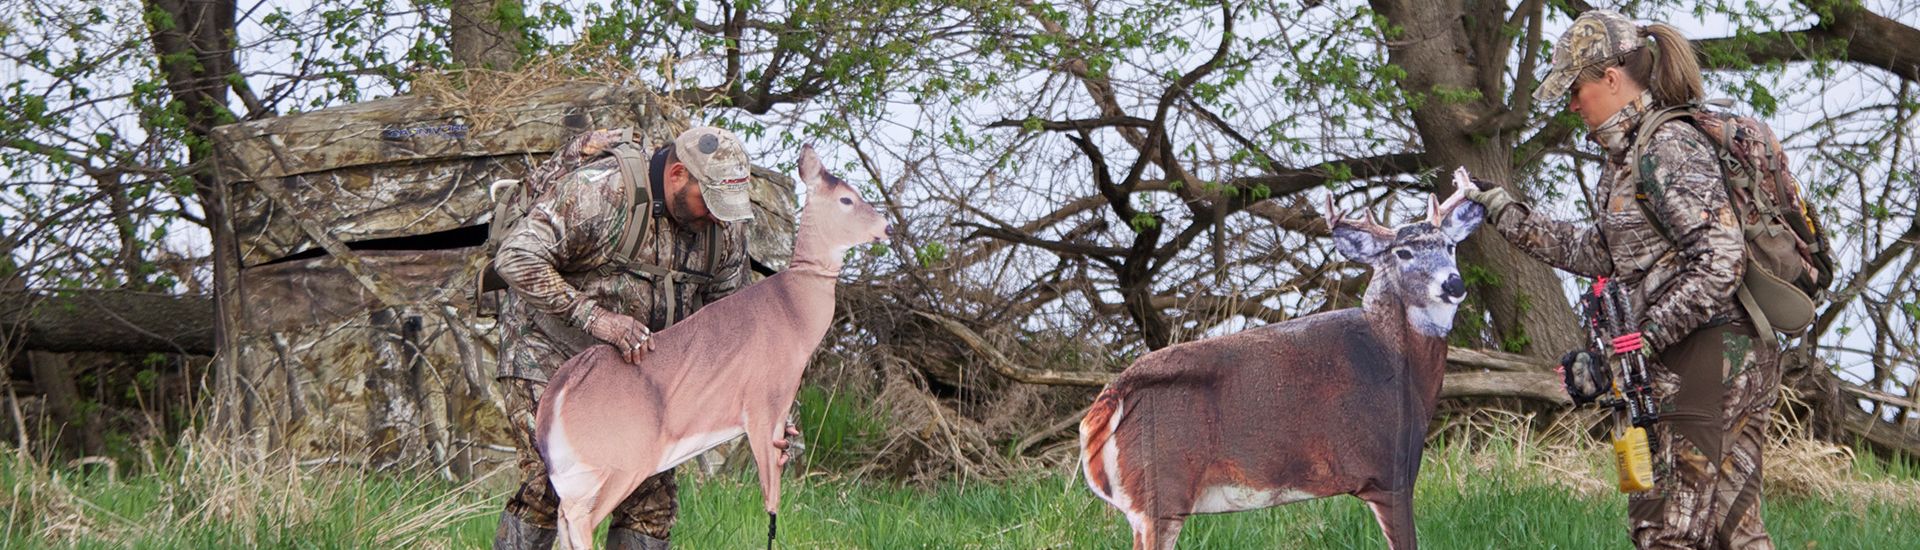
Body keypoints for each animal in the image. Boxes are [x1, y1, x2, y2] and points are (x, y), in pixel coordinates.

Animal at [534, 145, 891, 550]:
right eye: (847, 198)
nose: (886, 227)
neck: (795, 312)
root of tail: (557, 393)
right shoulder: (763, 404)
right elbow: (771, 500)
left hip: (581, 467)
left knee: (564, 515)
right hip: (622, 454)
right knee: (578, 516)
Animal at [1079, 170, 1486, 550]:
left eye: (1450, 246)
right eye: (1402, 252)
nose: (1453, 284)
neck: (1393, 359)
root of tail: (1103, 407)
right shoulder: (1390, 471)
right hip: (1162, 490)